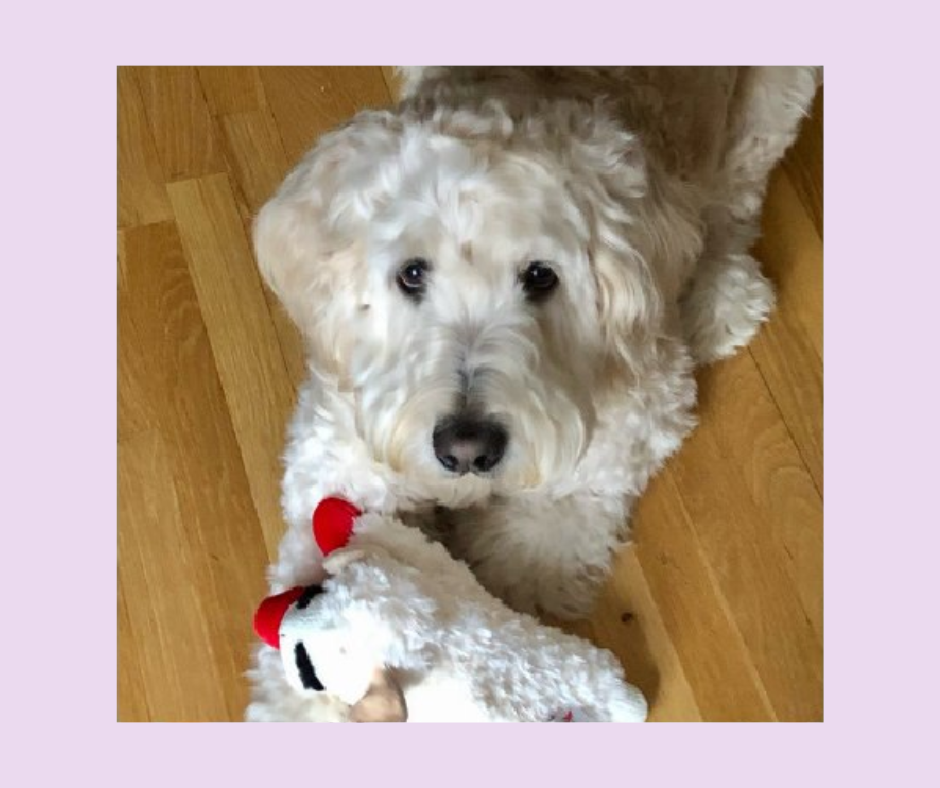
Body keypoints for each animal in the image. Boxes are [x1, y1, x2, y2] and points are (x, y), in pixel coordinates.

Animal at [246, 67, 821, 721]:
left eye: (542, 276)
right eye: (411, 273)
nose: (467, 448)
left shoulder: (616, 442)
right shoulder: (336, 463)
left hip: (776, 103)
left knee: (732, 206)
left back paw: (722, 297)